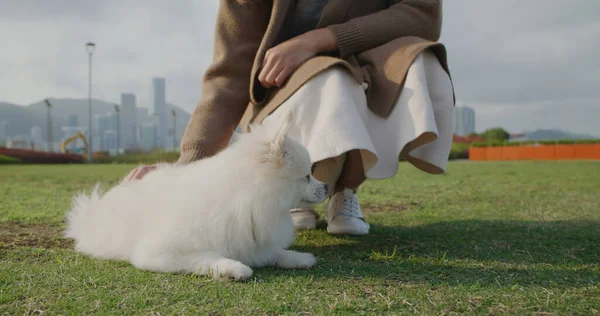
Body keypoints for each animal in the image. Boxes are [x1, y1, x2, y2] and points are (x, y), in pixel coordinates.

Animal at [64, 113, 328, 278]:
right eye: (307, 176)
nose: (326, 186)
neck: (245, 200)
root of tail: (92, 210)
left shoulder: (256, 240)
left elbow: (273, 252)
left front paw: (297, 257)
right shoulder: (158, 253)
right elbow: (205, 257)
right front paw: (233, 268)